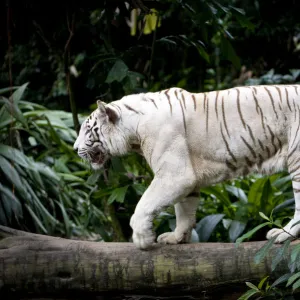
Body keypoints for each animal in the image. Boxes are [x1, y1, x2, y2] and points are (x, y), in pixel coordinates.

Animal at [74, 85, 300, 251]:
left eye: (87, 130)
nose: (75, 148)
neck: (133, 131)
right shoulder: (187, 180)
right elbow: (184, 211)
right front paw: (176, 238)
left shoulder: (175, 175)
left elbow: (143, 205)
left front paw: (142, 238)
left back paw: (283, 233)